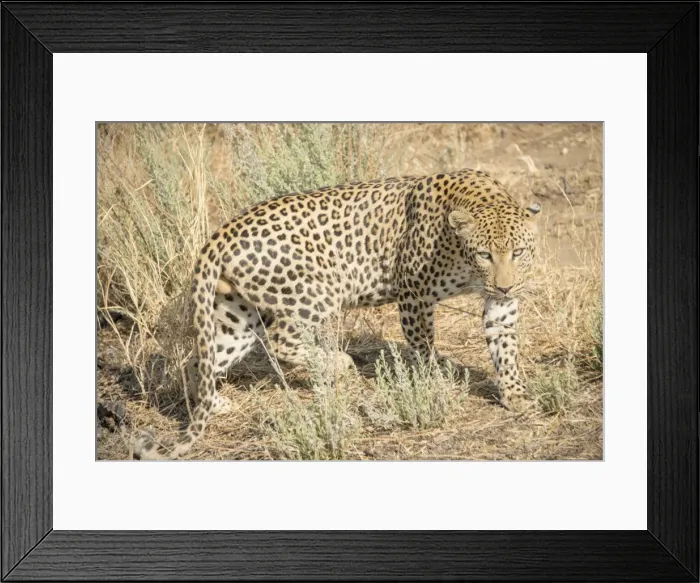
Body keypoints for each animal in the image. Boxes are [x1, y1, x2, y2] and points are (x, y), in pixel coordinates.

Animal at [134, 168, 541, 460]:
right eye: (484, 254)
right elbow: (423, 346)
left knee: (200, 360)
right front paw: (433, 382)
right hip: (316, 293)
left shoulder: (500, 303)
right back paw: (336, 364)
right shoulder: (414, 294)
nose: (506, 285)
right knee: (281, 341)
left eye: (518, 252)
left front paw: (515, 393)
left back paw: (215, 403)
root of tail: (220, 233)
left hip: (238, 315)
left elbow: (505, 346)